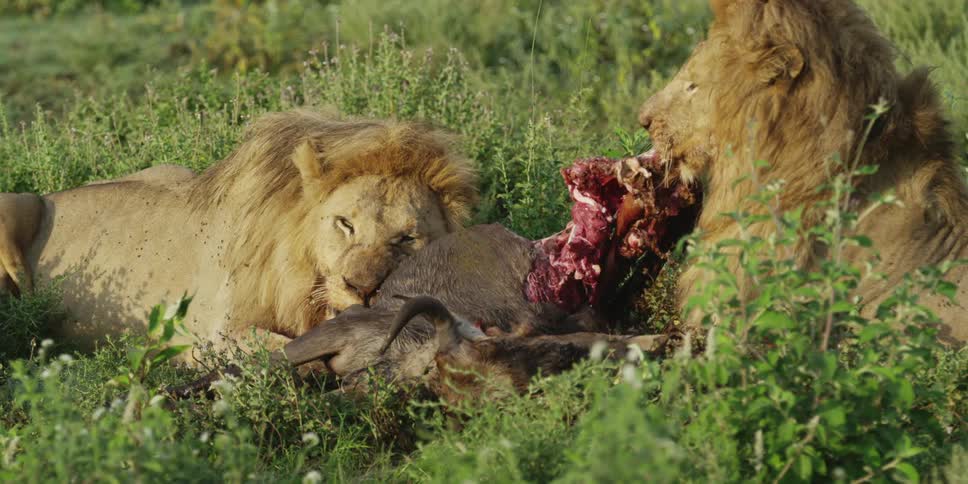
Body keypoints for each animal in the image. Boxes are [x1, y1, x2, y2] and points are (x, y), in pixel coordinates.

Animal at [0, 109, 478, 356]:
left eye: (406, 239)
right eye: (346, 224)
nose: (361, 288)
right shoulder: (215, 336)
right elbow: (279, 348)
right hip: (14, 203)